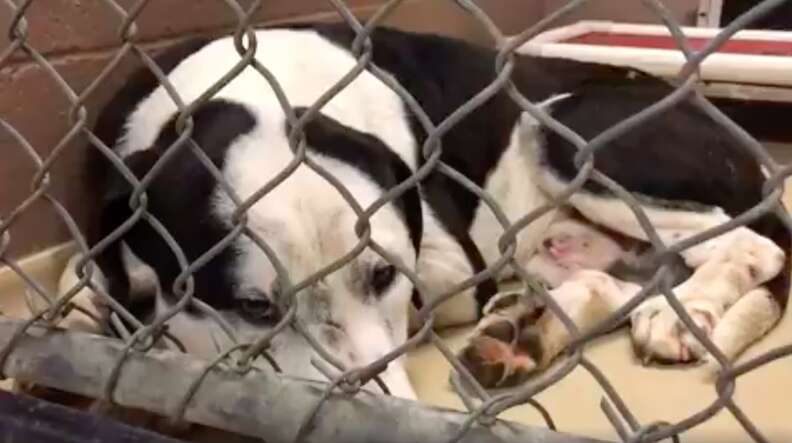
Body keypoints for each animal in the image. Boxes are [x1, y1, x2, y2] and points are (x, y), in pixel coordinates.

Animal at [54, 22, 784, 402]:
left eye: (382, 276)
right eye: (256, 307)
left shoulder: (455, 265)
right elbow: (85, 278)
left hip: (568, 131)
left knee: (757, 247)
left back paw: (687, 312)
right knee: (617, 276)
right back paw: (526, 330)